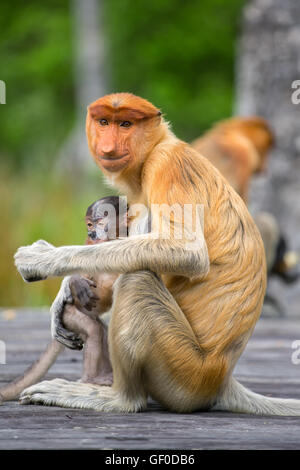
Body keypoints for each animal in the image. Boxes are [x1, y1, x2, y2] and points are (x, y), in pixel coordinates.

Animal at [0, 196, 126, 402]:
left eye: (100, 223)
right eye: (89, 224)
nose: (92, 232)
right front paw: (74, 282)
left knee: (102, 328)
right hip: (70, 314)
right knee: (93, 329)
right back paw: (93, 378)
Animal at [14, 92, 300, 414]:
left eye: (126, 124)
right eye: (104, 122)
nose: (108, 146)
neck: (153, 150)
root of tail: (221, 377)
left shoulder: (167, 166)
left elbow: (186, 251)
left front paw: (40, 259)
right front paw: (65, 291)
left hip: (181, 369)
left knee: (137, 279)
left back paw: (117, 398)